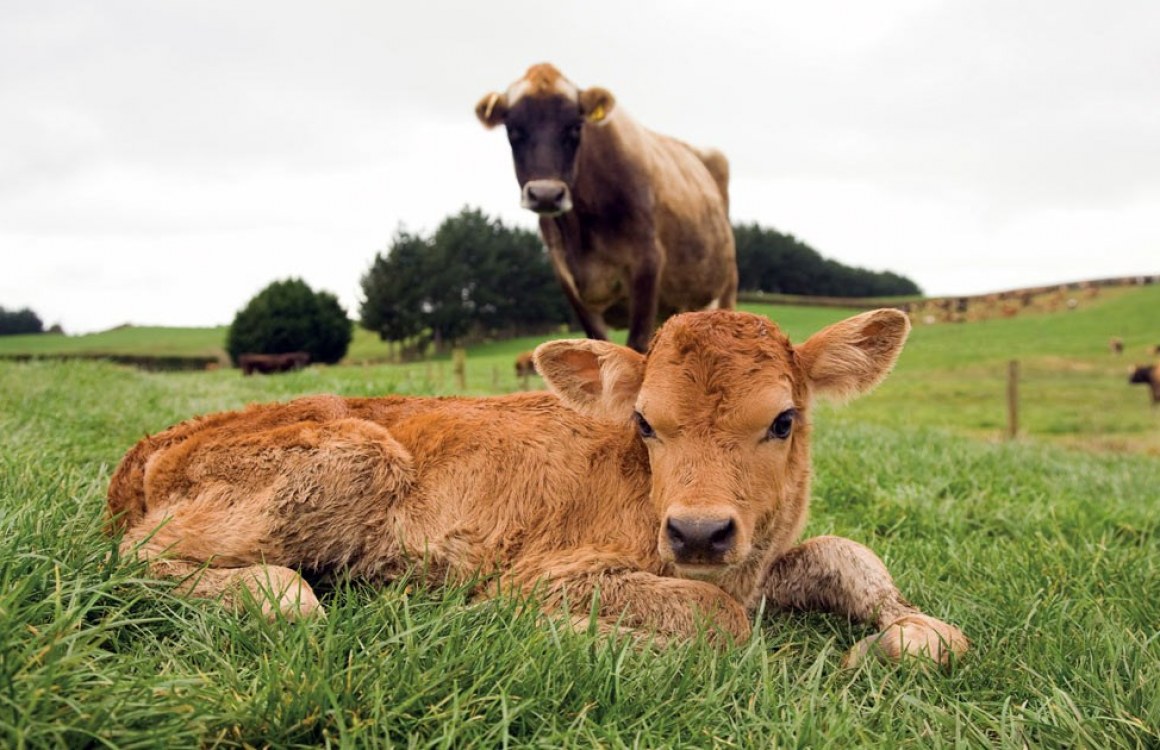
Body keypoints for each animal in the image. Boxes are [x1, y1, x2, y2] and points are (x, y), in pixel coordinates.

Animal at [107, 309, 967, 666]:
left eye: (784, 419)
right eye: (646, 424)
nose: (696, 532)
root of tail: (153, 446)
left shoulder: (758, 557)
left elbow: (847, 556)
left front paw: (910, 634)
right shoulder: (548, 571)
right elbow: (716, 620)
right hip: (354, 454)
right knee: (144, 563)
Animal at [476, 63, 738, 354]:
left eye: (575, 127)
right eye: (512, 128)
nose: (546, 194)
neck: (583, 233)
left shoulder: (647, 263)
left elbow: (636, 346)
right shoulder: (568, 279)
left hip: (724, 288)